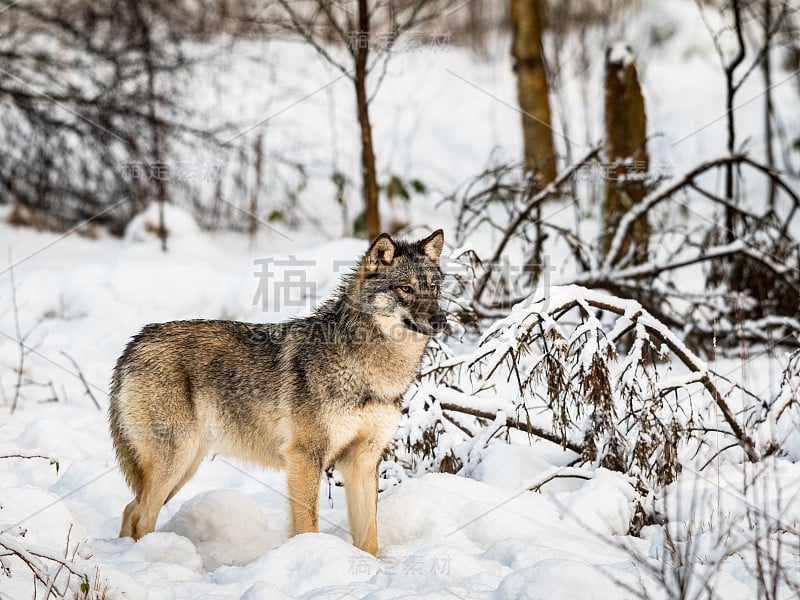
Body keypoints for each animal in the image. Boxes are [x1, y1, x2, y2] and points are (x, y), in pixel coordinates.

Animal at [107, 229, 446, 552]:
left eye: (434, 288)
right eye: (405, 288)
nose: (441, 320)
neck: (370, 372)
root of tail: (135, 342)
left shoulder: (361, 462)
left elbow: (369, 538)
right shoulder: (305, 459)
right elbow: (308, 526)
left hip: (185, 467)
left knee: (128, 509)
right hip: (175, 462)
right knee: (141, 517)